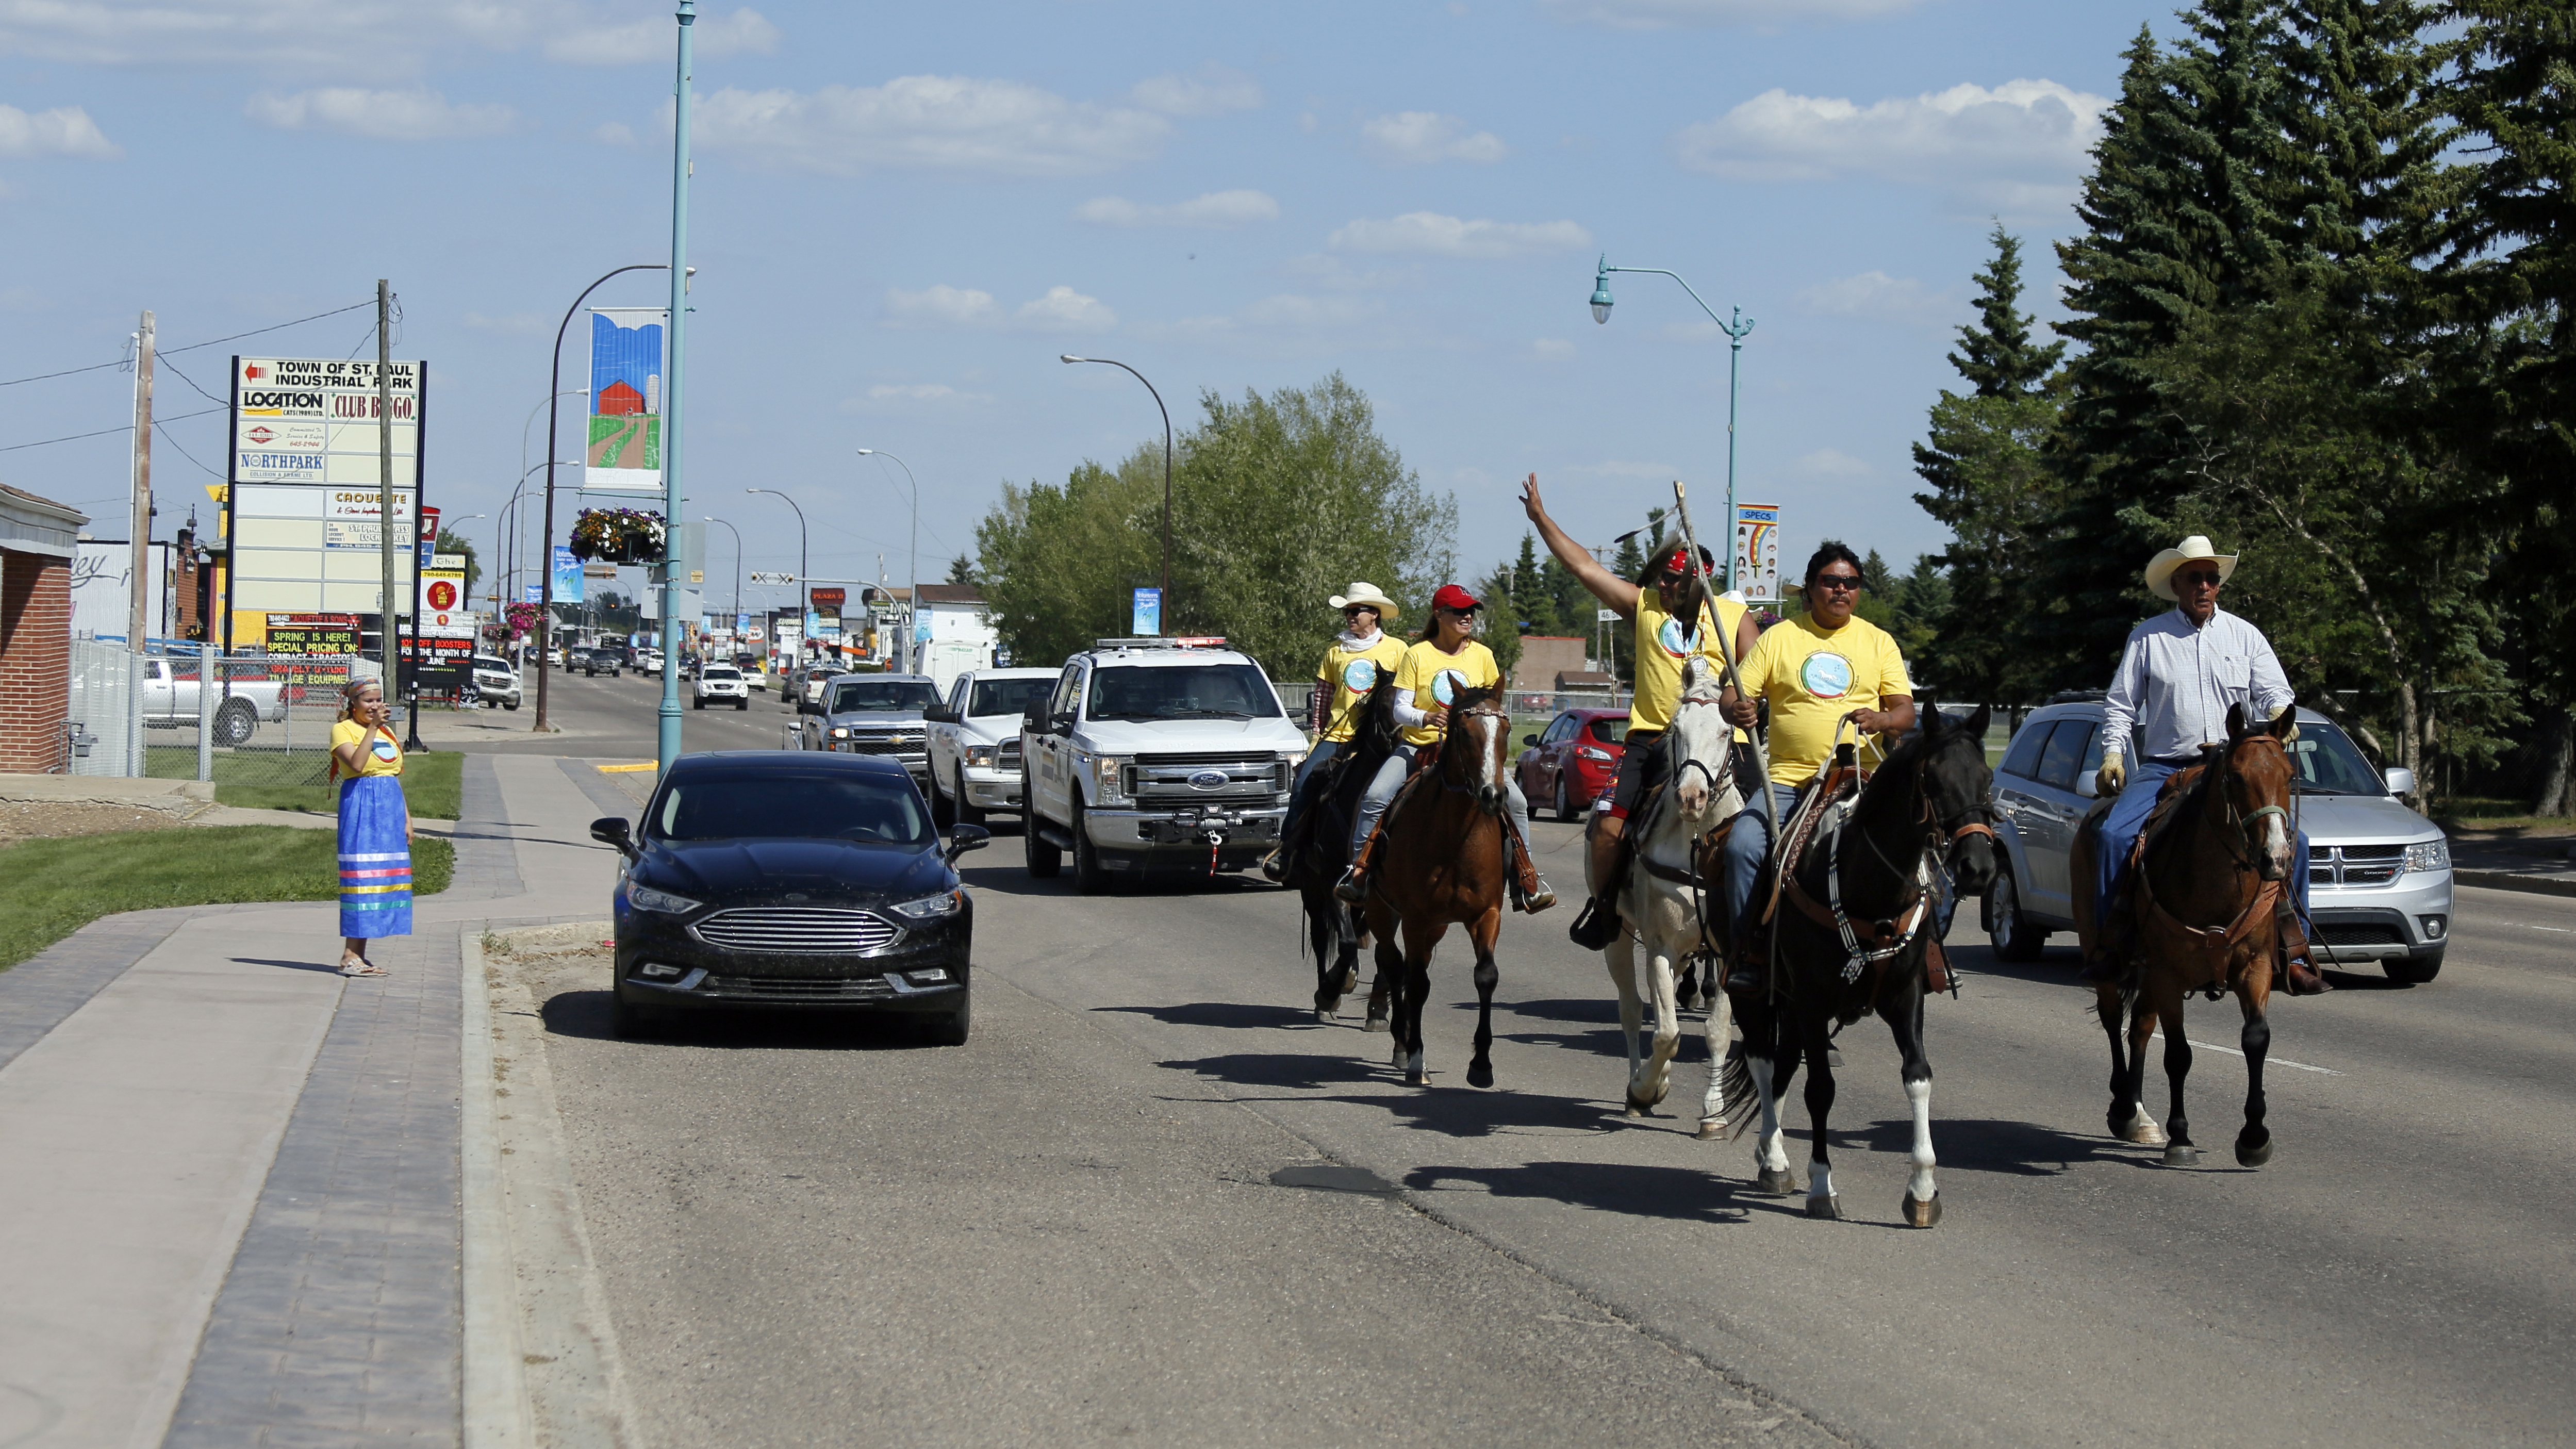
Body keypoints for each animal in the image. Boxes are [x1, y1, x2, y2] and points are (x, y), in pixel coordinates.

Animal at [1360, 686, 1514, 1083]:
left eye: (1505, 732)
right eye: (1463, 732)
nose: (1493, 795)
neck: (1456, 838)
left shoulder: (1487, 914)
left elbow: (1486, 976)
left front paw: (1481, 1065)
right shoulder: (1416, 918)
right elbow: (1414, 983)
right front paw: (1416, 1059)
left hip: (1437, 927)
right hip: (1381, 910)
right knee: (1394, 964)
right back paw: (1402, 1044)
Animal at [1587, 655, 1752, 1129]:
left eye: (1726, 731)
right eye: (1677, 729)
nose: (1691, 797)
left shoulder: (1727, 952)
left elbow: (1717, 1031)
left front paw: (1713, 1113)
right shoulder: (1659, 945)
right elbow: (1666, 1033)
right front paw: (1645, 1089)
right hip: (1618, 937)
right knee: (1631, 1009)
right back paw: (1639, 1087)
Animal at [1721, 706, 1999, 1222]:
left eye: (1988, 779)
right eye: (1932, 779)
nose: (1978, 867)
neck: (1867, 888)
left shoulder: (1904, 998)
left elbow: (1918, 1077)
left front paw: (1923, 1191)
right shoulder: (1812, 1001)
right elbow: (1820, 1089)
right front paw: (1821, 1186)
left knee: (1782, 1066)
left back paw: (1775, 1156)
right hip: (1754, 993)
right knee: (1764, 1062)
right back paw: (1773, 1157)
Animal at [2071, 701, 2298, 1160]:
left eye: (2287, 774)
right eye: (2237, 777)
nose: (2277, 857)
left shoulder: (2255, 966)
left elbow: (2255, 1039)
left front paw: (2254, 1135)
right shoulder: (2168, 973)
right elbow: (2178, 1053)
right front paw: (2180, 1136)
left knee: (2140, 1026)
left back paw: (2138, 1116)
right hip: (2103, 954)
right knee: (2112, 1018)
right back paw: (2124, 1108)